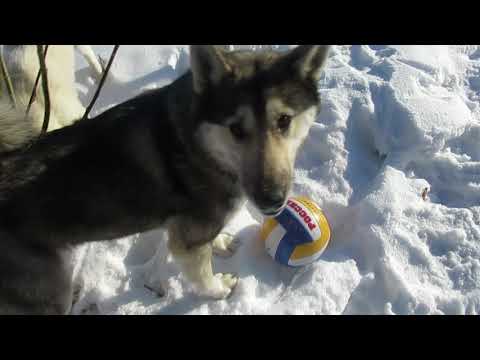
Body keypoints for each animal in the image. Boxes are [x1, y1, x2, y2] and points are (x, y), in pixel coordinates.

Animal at [0, 45, 330, 316]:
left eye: (284, 121)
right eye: (235, 129)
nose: (271, 200)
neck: (197, 144)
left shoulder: (193, 228)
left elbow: (210, 239)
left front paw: (221, 242)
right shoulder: (187, 243)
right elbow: (203, 277)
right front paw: (219, 289)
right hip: (49, 292)